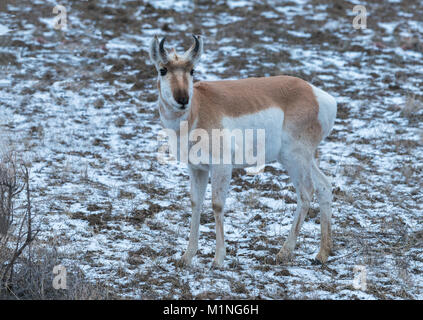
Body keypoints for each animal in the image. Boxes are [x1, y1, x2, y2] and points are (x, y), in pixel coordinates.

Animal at [149, 35, 338, 268]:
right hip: (304, 159)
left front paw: (218, 259)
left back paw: (284, 253)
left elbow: (217, 205)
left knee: (306, 193)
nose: (183, 99)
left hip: (295, 158)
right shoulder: (197, 169)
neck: (198, 110)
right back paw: (322, 254)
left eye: (192, 70)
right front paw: (186, 256)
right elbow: (196, 203)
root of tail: (317, 95)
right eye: (162, 69)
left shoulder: (221, 167)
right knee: (324, 186)